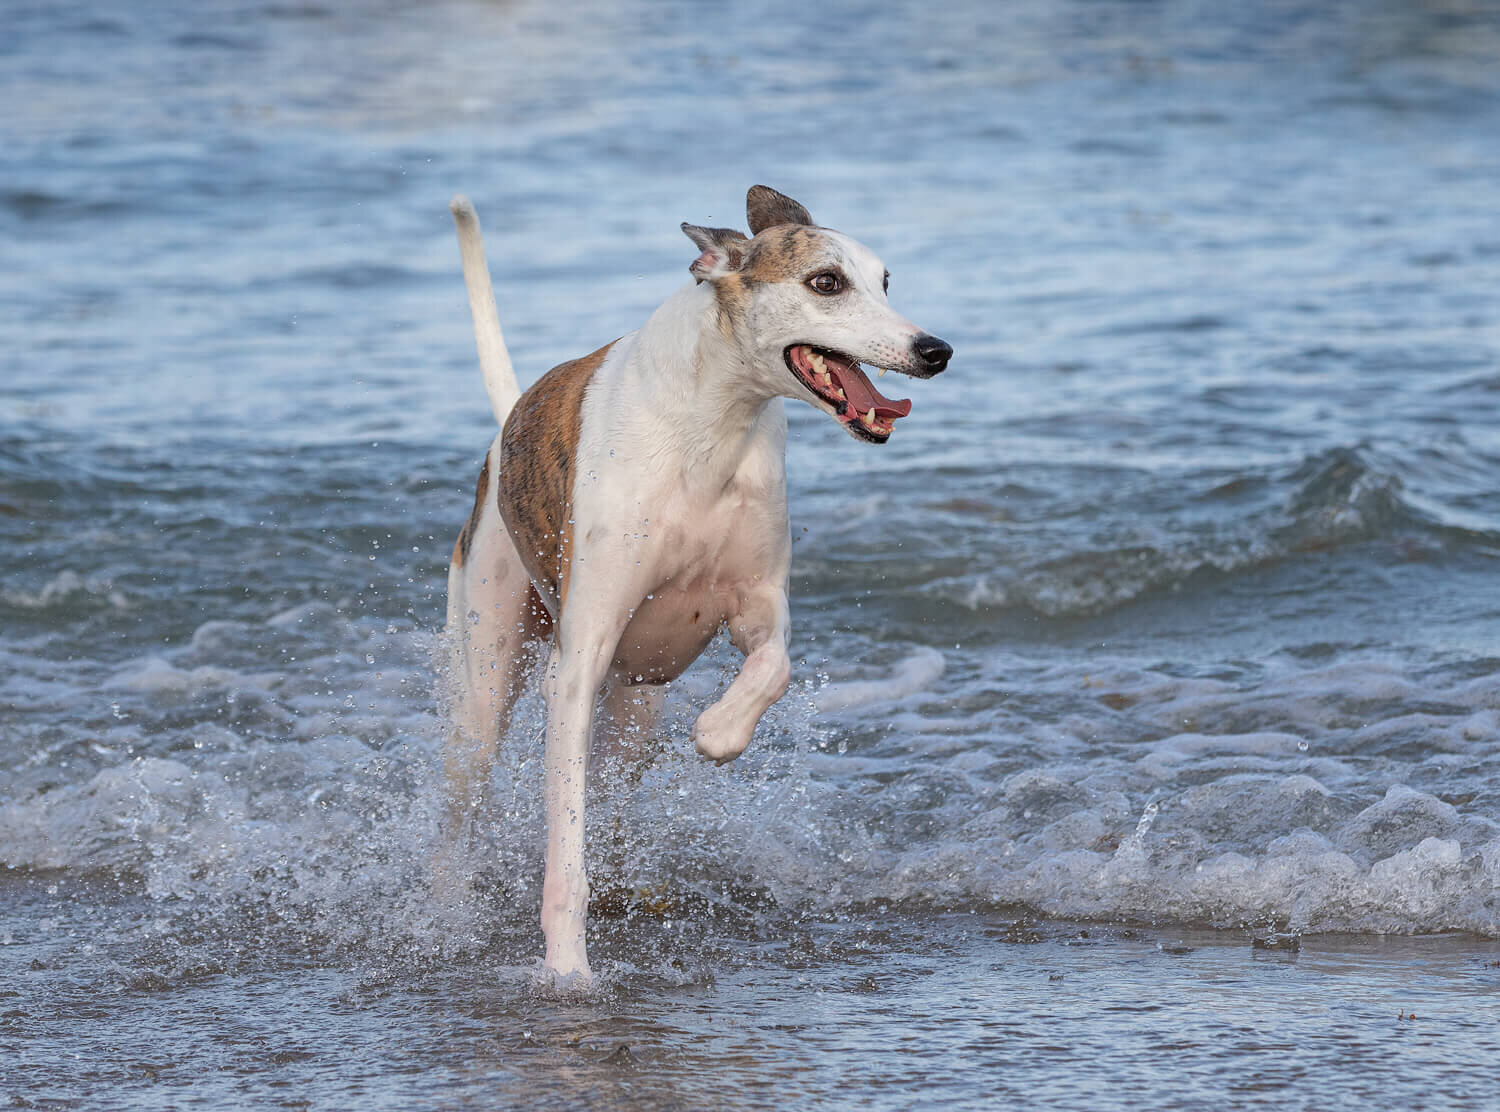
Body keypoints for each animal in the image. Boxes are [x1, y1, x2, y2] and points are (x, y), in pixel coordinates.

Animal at [438, 186, 948, 984]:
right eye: (826, 282)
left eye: (886, 282)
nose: (935, 350)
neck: (710, 428)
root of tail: (505, 431)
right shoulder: (577, 664)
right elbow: (564, 855)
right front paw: (568, 971)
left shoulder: (759, 604)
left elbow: (775, 664)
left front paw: (717, 733)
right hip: (483, 683)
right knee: (464, 805)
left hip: (633, 717)